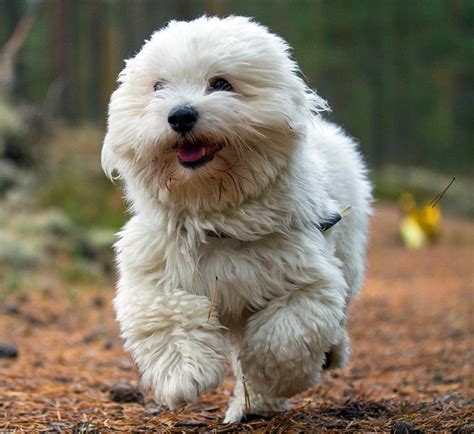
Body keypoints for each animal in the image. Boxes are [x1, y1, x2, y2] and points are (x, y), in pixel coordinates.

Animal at [102, 15, 372, 422]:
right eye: (158, 87)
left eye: (221, 83)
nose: (180, 115)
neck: (218, 218)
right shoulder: (154, 275)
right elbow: (170, 318)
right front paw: (184, 373)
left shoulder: (307, 279)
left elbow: (283, 339)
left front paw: (267, 381)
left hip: (348, 256)